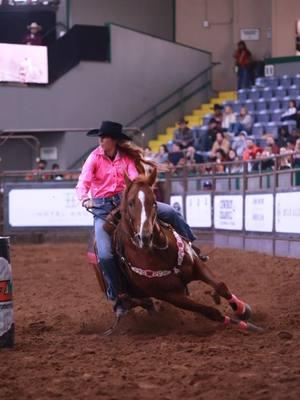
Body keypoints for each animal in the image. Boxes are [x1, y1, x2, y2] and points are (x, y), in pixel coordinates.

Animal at [108, 169, 262, 334]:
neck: (159, 254)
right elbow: (211, 312)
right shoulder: (171, 295)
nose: (145, 237)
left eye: (154, 202)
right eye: (130, 203)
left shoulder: (197, 266)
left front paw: (242, 310)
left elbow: (221, 286)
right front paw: (250, 326)